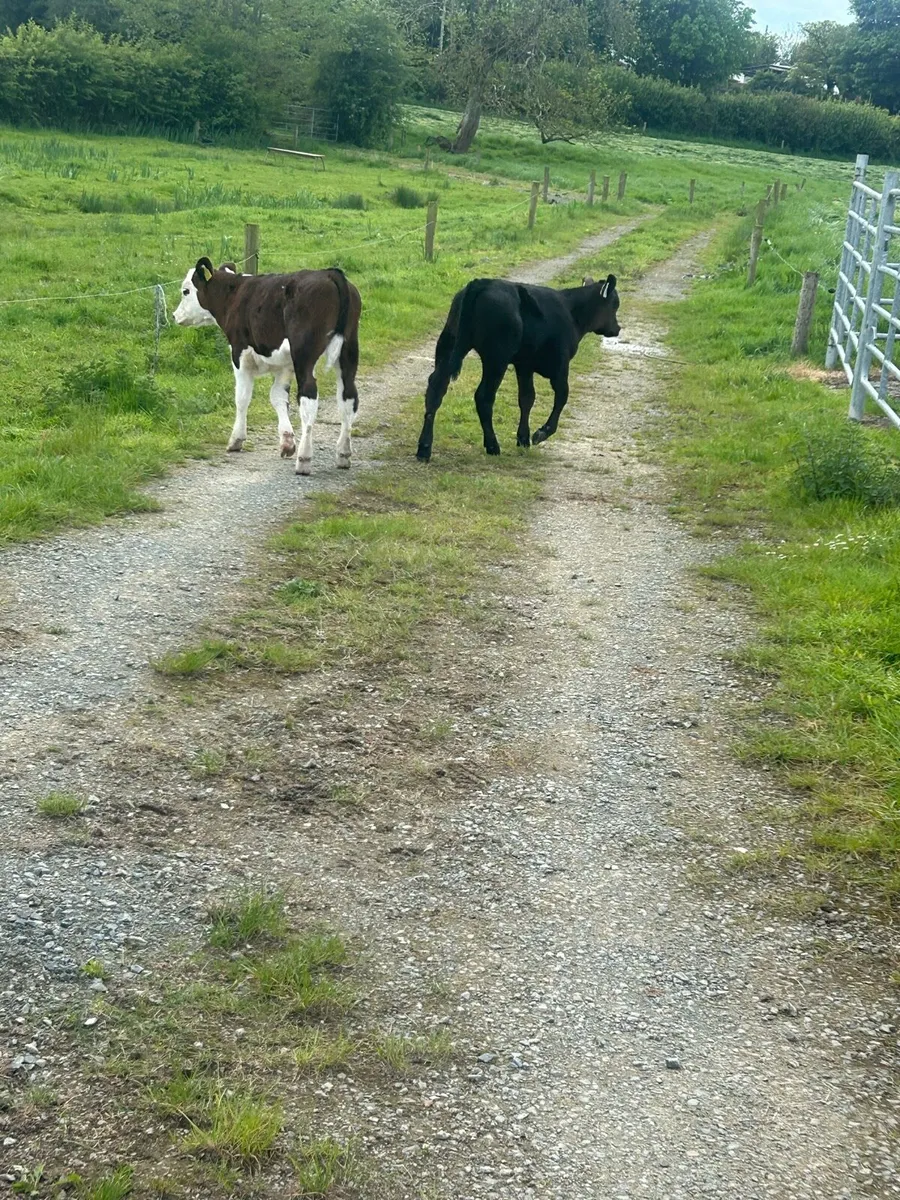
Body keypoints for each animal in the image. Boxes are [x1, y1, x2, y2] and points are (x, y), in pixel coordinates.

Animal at [173, 258, 362, 476]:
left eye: (186, 291)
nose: (174, 315)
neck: (234, 294)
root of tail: (330, 274)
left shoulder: (240, 354)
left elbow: (242, 397)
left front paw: (236, 439)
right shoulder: (284, 366)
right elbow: (278, 397)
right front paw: (287, 442)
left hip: (305, 356)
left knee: (309, 399)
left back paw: (304, 459)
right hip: (348, 353)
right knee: (348, 397)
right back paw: (343, 453)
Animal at [415, 273, 621, 462]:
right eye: (615, 305)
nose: (617, 328)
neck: (571, 311)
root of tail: (482, 282)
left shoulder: (524, 365)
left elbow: (527, 398)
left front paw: (523, 438)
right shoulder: (560, 365)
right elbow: (562, 395)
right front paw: (541, 433)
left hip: (449, 343)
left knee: (436, 387)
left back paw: (424, 448)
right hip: (496, 359)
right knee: (484, 397)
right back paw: (492, 445)